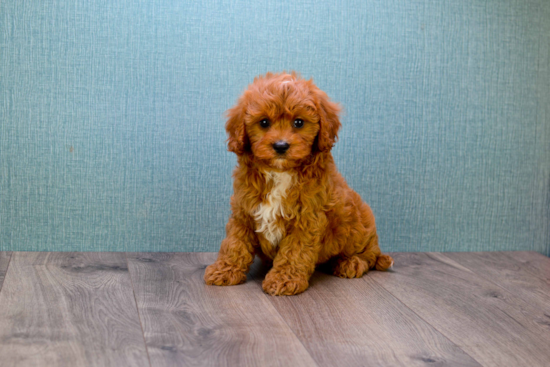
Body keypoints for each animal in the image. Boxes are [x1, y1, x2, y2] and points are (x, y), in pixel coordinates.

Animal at [205, 71, 394, 296]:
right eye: (264, 122)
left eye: (298, 123)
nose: (280, 146)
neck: (279, 173)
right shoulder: (243, 212)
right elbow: (234, 244)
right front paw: (224, 270)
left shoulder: (307, 219)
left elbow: (294, 251)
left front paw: (283, 280)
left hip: (359, 224)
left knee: (370, 254)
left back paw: (350, 263)